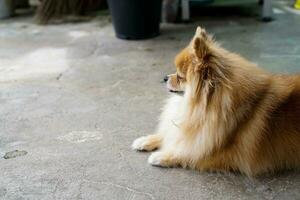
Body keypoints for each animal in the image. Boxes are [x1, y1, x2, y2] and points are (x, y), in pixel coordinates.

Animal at [132, 26, 300, 177]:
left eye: (180, 76)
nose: (165, 77)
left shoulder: (224, 154)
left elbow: (188, 152)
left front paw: (162, 155)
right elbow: (170, 134)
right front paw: (145, 140)